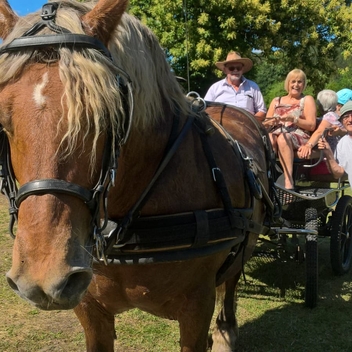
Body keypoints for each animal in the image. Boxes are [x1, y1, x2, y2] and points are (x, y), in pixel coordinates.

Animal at [0, 1, 276, 350]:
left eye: (106, 116)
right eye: (2, 120)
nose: (42, 277)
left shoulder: (197, 307)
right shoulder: (91, 309)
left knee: (231, 284)